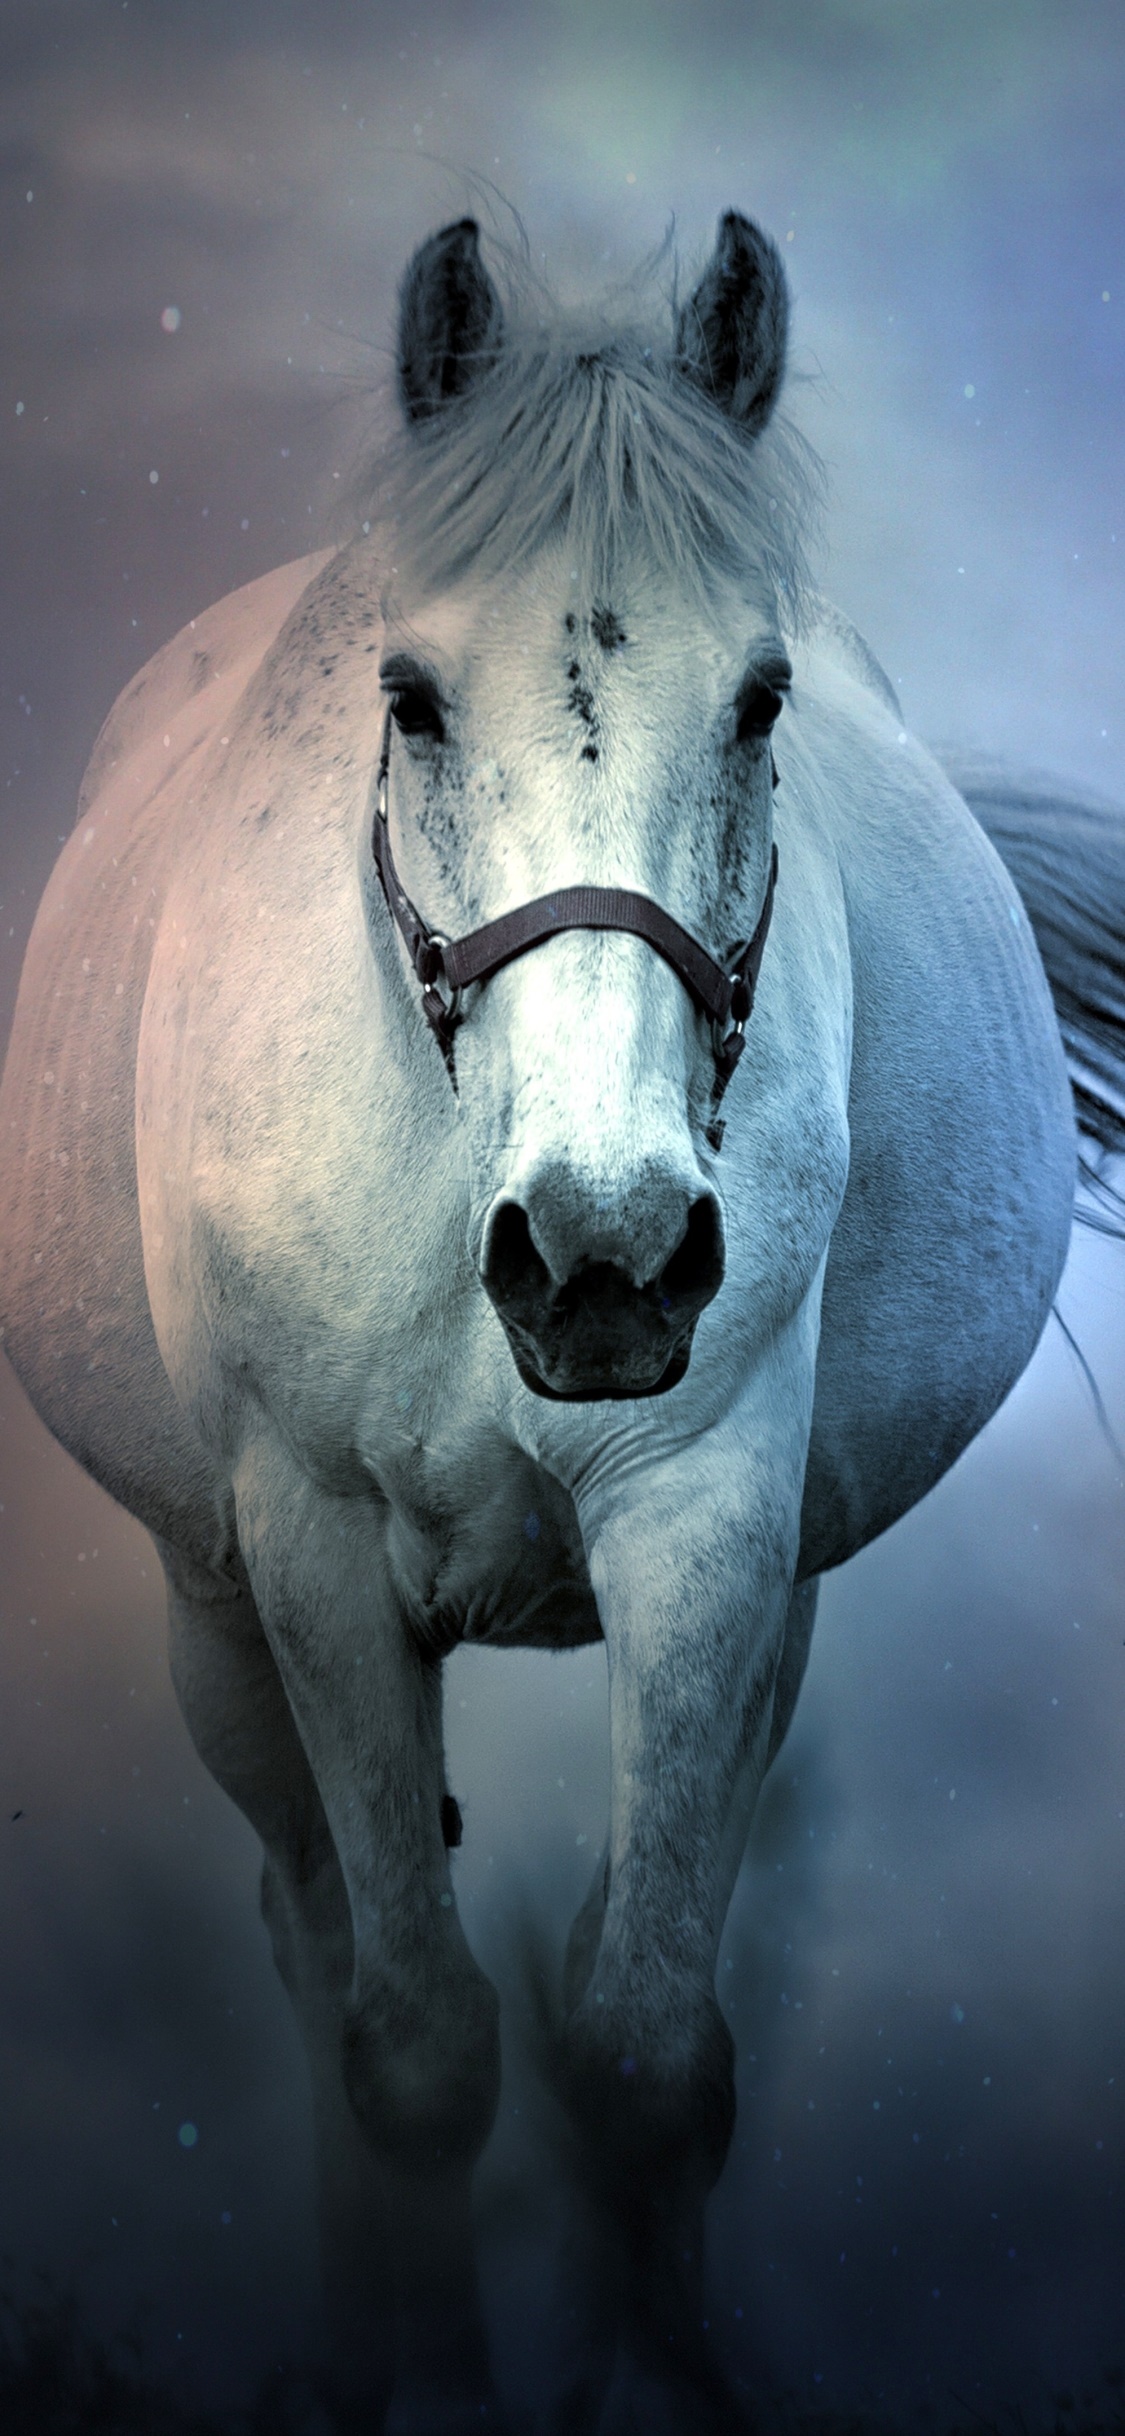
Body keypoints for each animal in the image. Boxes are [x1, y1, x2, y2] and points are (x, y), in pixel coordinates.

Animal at [1, 208, 1123, 2435]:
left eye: (764, 699)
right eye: (412, 697)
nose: (602, 1257)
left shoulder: (708, 1528)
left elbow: (646, 2052)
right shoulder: (313, 1554)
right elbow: (416, 2046)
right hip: (208, 1612)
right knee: (315, 1942)